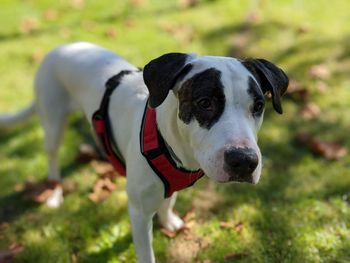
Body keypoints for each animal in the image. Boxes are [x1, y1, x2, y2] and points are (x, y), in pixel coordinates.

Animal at [0, 42, 288, 262]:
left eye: (259, 105)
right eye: (204, 102)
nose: (244, 162)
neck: (171, 143)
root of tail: (60, 47)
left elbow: (168, 200)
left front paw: (169, 220)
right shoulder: (138, 214)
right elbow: (146, 253)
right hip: (53, 122)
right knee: (52, 159)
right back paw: (55, 192)